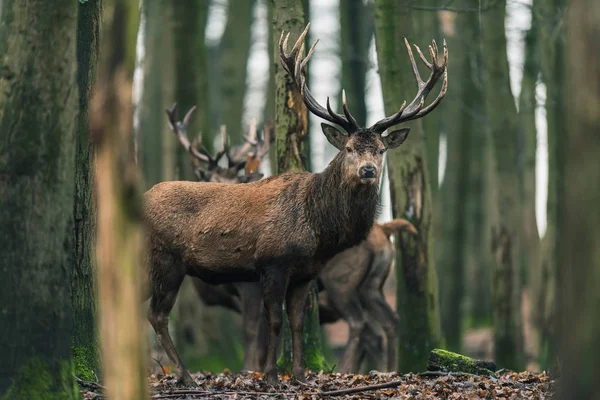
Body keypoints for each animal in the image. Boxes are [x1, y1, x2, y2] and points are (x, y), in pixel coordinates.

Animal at [168, 108, 418, 372]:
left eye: (236, 181)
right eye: (209, 180)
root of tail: (385, 231)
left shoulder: (250, 287)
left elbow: (251, 330)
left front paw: (250, 369)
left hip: (342, 282)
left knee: (362, 325)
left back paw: (346, 369)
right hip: (372, 286)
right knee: (387, 323)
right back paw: (386, 369)